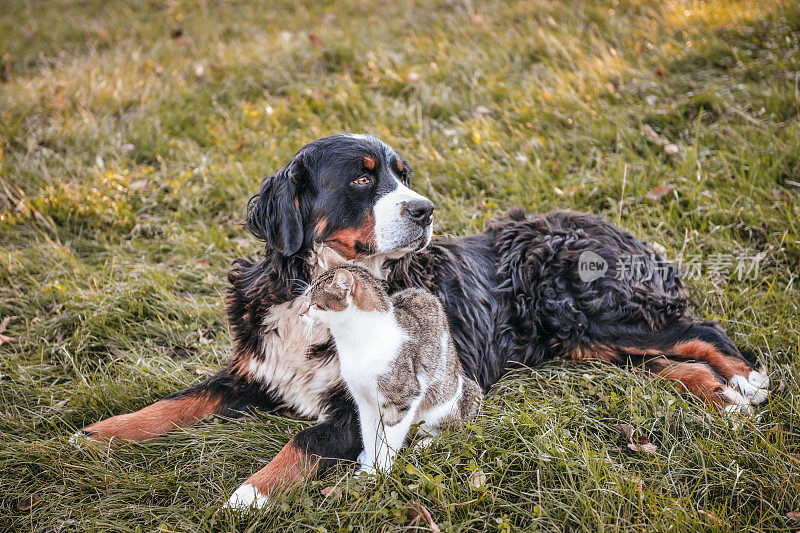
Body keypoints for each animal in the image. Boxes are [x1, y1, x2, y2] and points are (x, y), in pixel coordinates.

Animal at [304, 256, 482, 472]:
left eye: (314, 304)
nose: (301, 312)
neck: (357, 342)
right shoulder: (364, 402)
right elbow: (369, 435)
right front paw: (368, 467)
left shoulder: (403, 400)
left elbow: (390, 441)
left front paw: (379, 471)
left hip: (438, 410)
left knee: (454, 432)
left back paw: (425, 445)